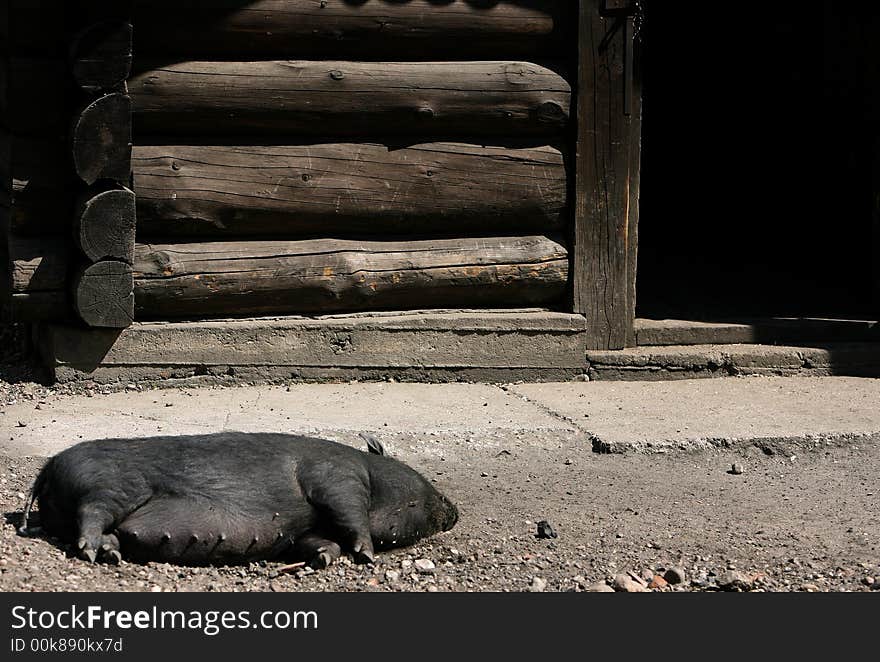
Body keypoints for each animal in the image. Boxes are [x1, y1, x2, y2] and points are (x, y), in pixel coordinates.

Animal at [18, 434, 460, 568]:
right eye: (431, 489)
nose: (454, 511)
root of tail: (48, 467)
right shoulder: (336, 477)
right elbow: (351, 515)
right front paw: (365, 555)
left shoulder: (307, 530)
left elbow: (317, 540)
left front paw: (325, 559)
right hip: (107, 487)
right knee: (90, 515)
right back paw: (92, 552)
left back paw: (111, 554)